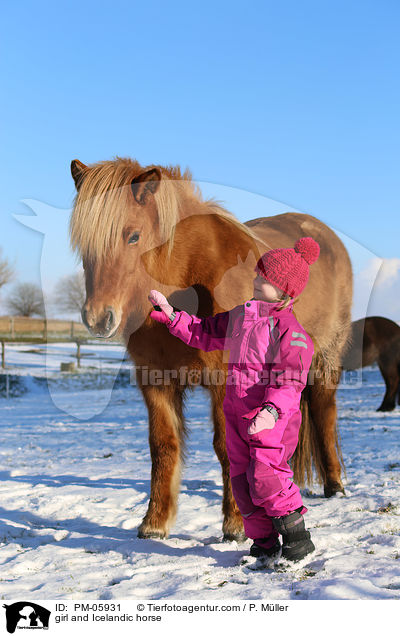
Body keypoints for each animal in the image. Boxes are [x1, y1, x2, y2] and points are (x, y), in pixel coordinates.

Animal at [69, 157, 354, 540]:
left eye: (133, 236)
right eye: (83, 243)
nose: (98, 318)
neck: (188, 276)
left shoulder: (224, 382)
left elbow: (227, 448)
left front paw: (236, 525)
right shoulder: (155, 381)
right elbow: (163, 446)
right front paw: (155, 523)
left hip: (326, 357)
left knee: (324, 411)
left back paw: (335, 486)